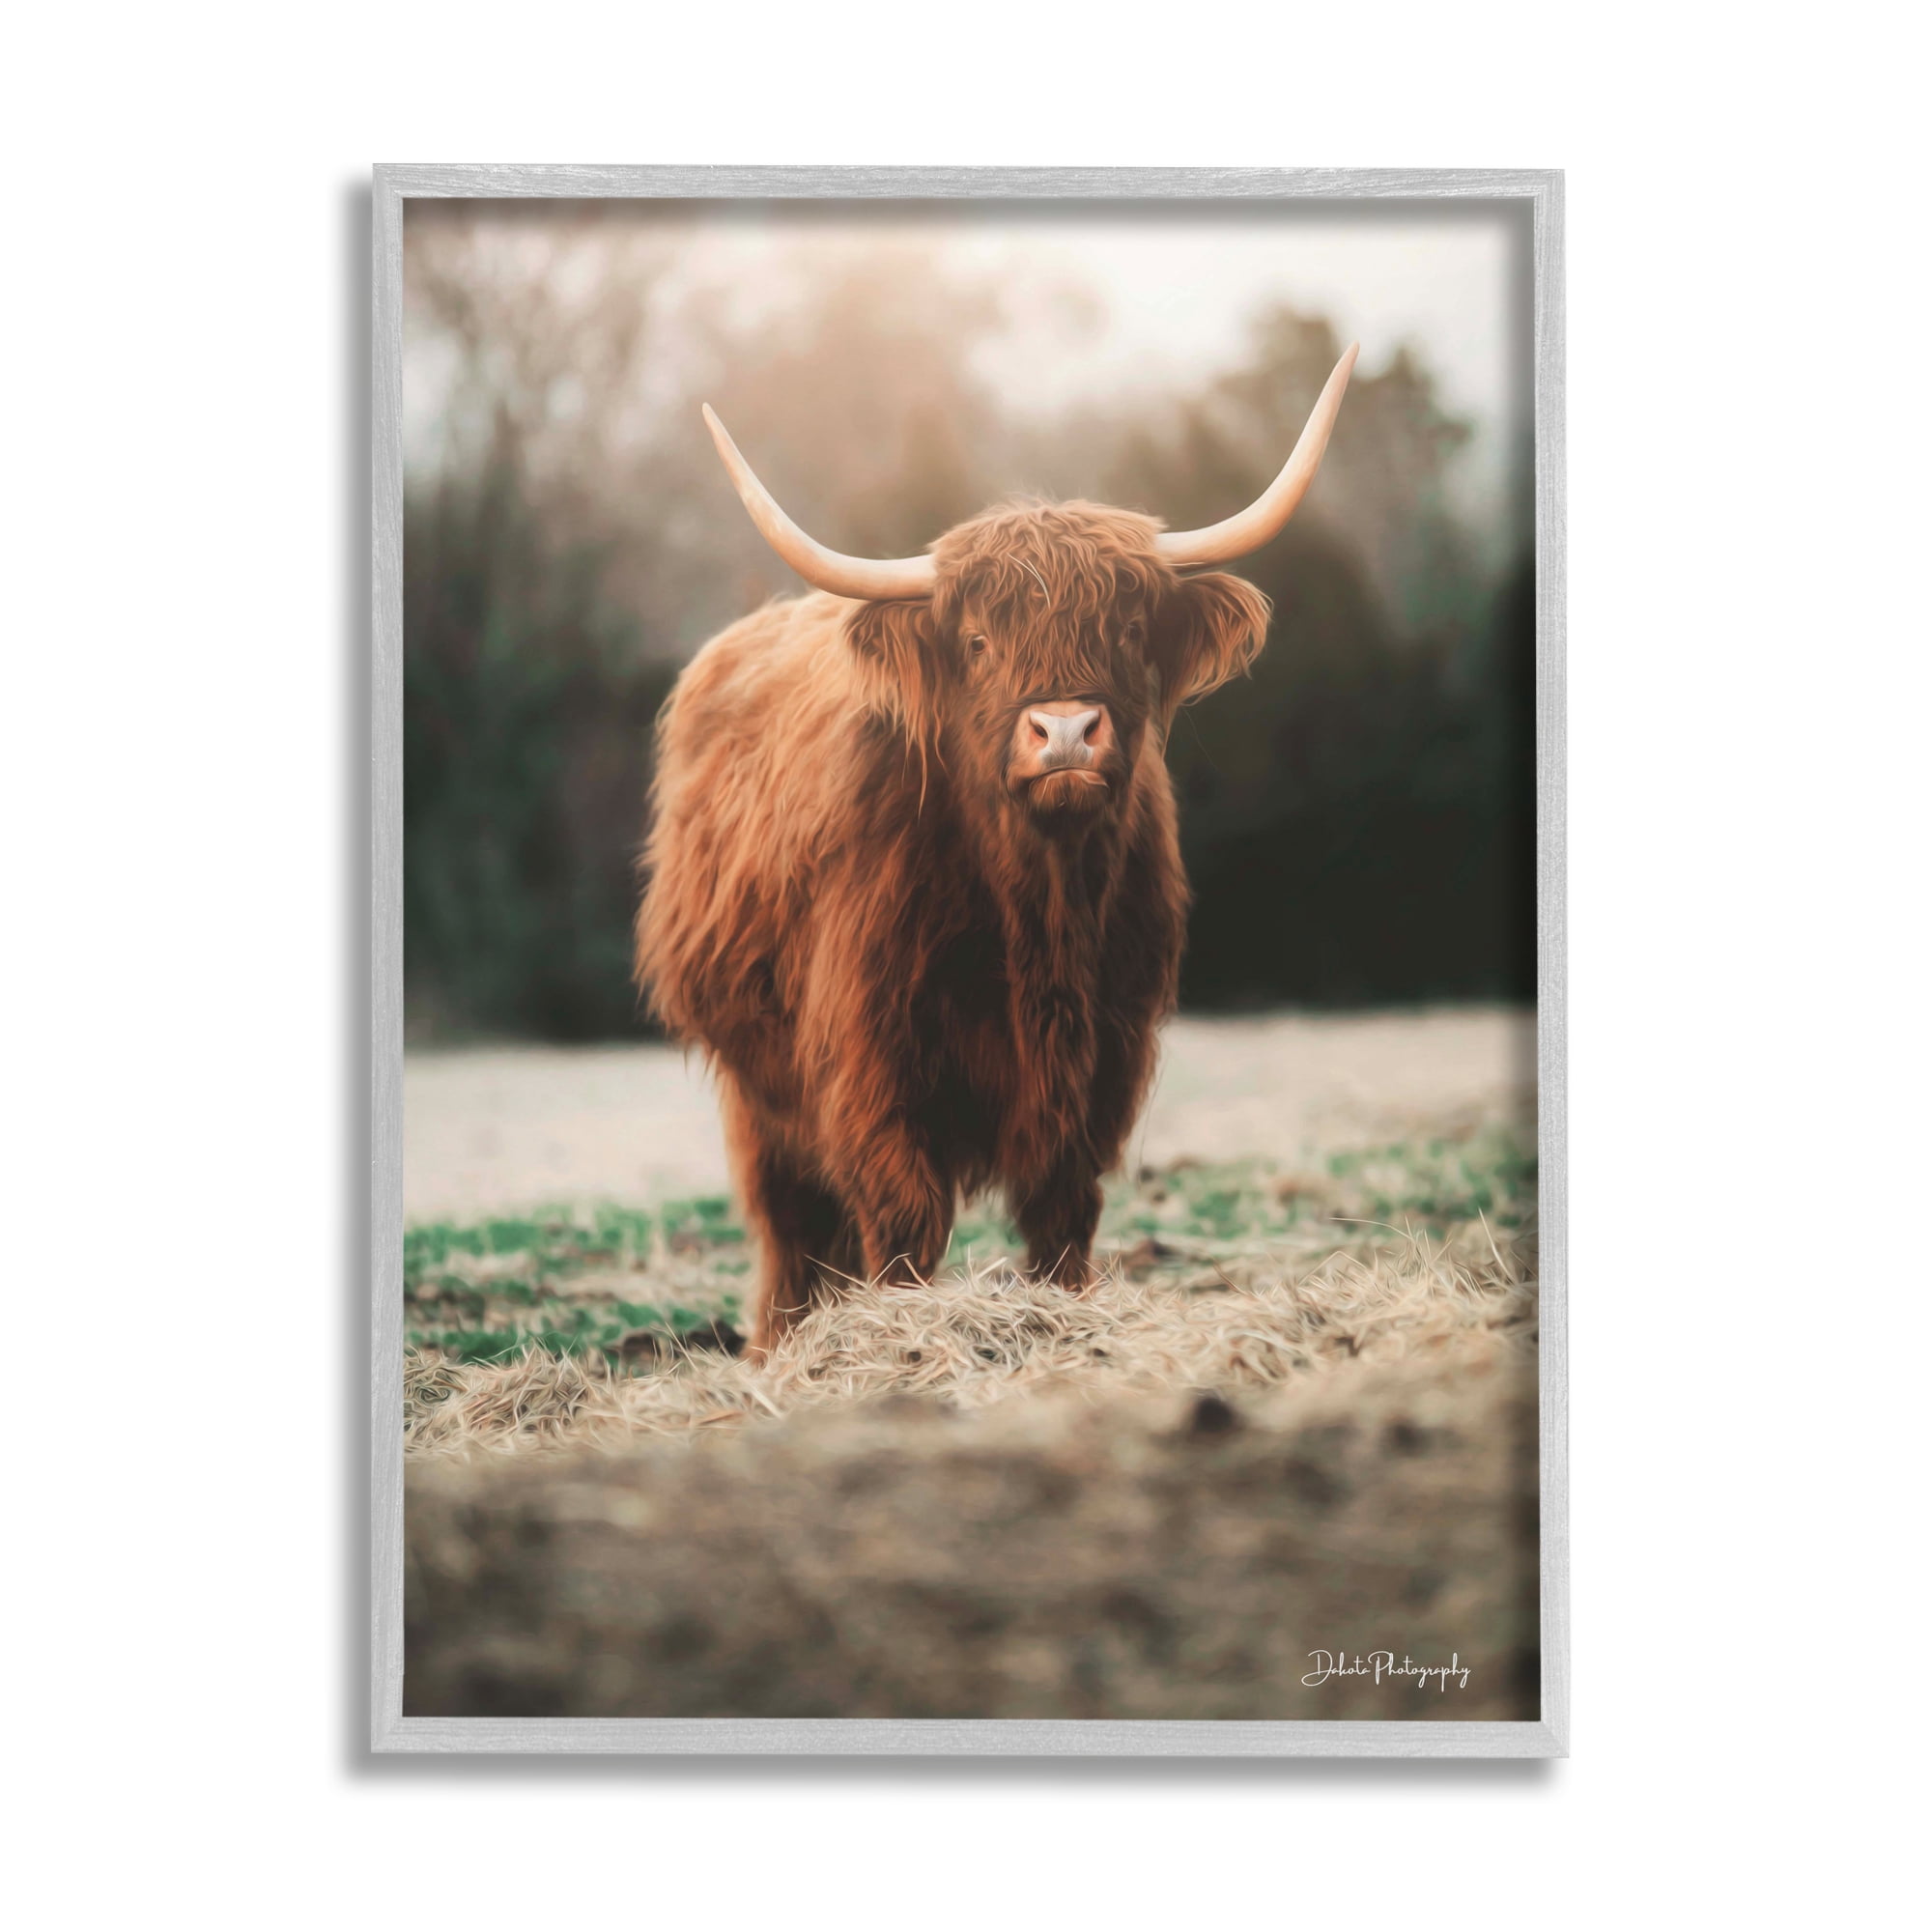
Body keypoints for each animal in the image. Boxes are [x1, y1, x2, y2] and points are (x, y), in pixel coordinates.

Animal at [635, 346, 1357, 1358]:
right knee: (788, 1220)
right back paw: (781, 1344)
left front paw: (1061, 1315)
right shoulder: (868, 1053)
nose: (1065, 732)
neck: (1038, 906)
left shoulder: (1105, 1053)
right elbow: (901, 1213)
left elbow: (1063, 1207)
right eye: (977, 642)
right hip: (754, 1078)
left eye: (1127, 631)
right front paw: (901, 1334)